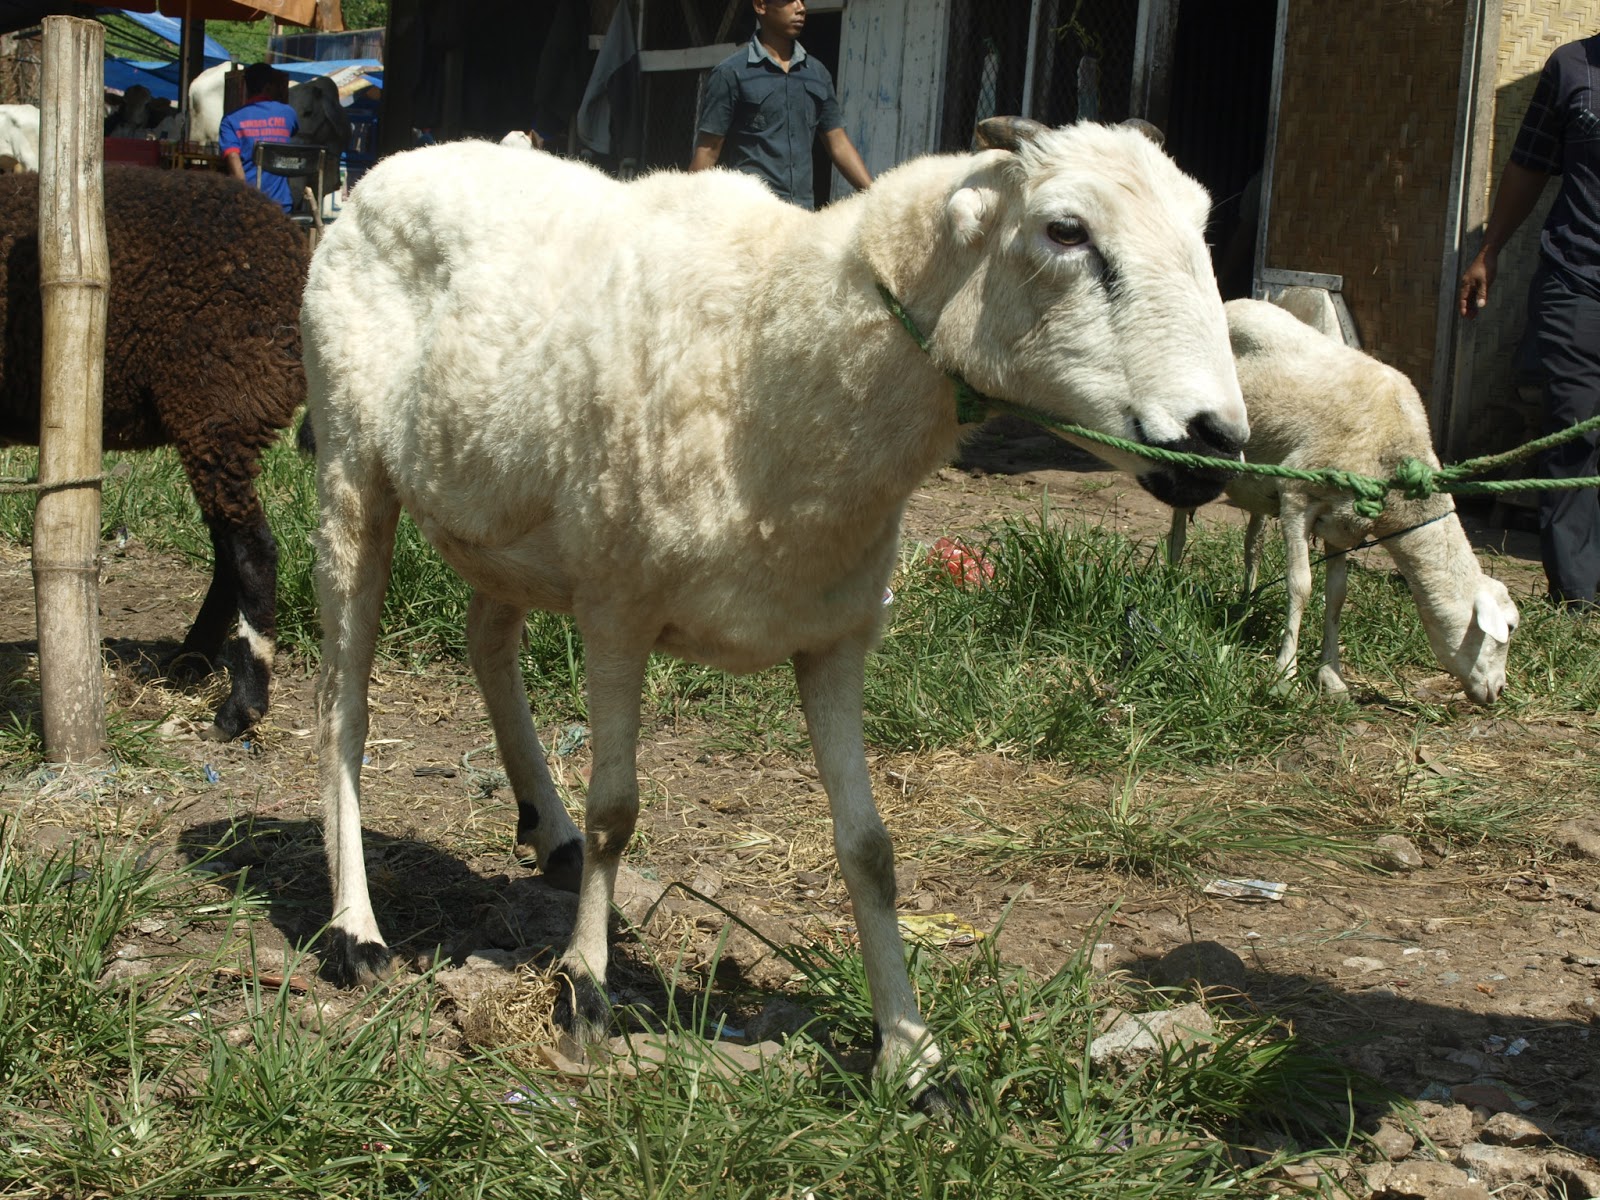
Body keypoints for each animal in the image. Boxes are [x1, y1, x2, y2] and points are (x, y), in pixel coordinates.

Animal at [300, 117, 1248, 1107]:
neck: (781, 355)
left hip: (507, 514)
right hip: (351, 468)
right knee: (342, 708)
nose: (1219, 440)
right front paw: (586, 991)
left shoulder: (836, 635)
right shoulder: (617, 609)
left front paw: (913, 1053)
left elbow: (869, 848)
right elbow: (616, 811)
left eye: (1203, 224)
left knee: (487, 642)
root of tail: (403, 161)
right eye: (1066, 231)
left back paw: (543, 826)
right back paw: (356, 930)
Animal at [1164, 299, 1510, 704]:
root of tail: (1231, 305)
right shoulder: (1296, 497)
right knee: (1177, 530)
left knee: (1253, 543)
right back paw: (1170, 584)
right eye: (1507, 632)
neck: (1392, 450)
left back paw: (1245, 602)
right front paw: (1285, 674)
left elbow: (1337, 595)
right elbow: (1300, 586)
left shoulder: (1344, 524)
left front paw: (1332, 677)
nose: (1498, 691)